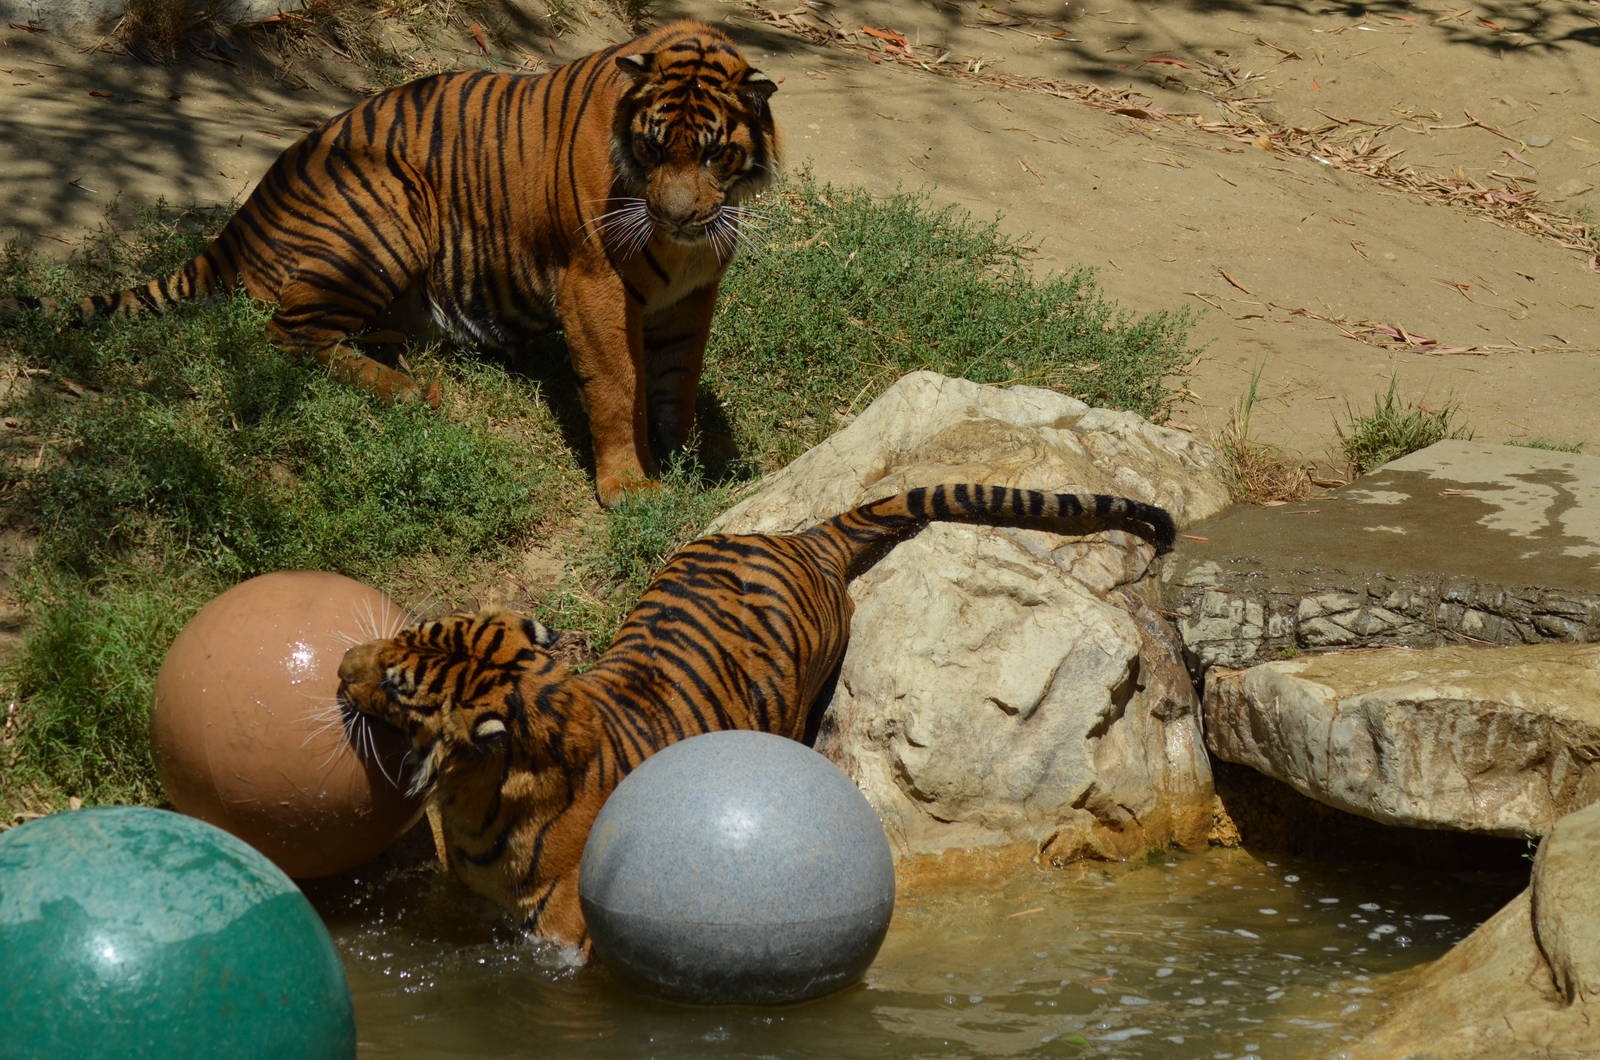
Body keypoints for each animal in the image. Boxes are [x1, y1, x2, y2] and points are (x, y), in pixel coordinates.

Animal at [6, 22, 778, 507]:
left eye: (714, 153)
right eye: (650, 148)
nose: (677, 217)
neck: (681, 247)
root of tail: (242, 217)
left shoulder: (692, 293)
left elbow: (678, 377)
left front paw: (694, 456)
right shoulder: (593, 283)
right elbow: (619, 384)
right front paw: (632, 487)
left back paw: (400, 363)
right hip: (387, 207)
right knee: (287, 335)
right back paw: (413, 393)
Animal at [336, 484, 1174, 954]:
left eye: (398, 681)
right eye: (407, 635)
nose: (342, 665)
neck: (474, 801)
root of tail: (801, 538)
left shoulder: (564, 943)